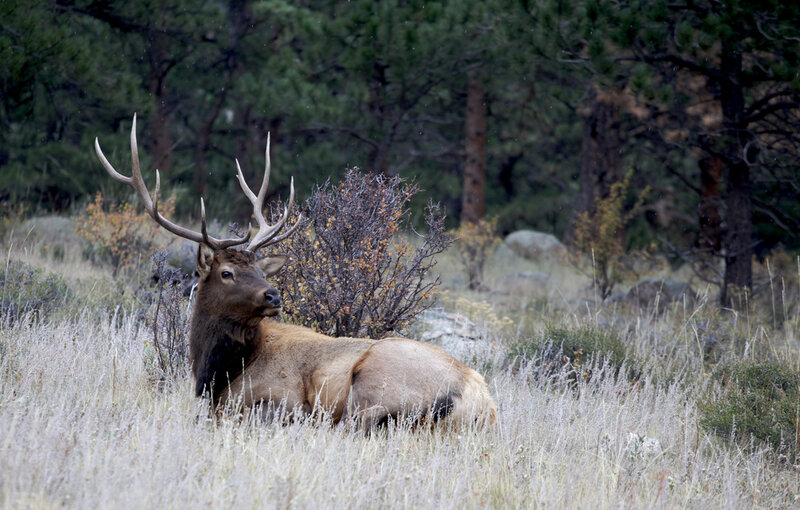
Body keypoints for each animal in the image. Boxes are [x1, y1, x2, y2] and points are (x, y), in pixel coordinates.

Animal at [95, 115, 497, 430]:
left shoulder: (280, 398)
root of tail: (478, 399)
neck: (218, 373)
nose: (273, 294)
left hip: (375, 385)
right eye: (227, 272)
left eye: (256, 267)